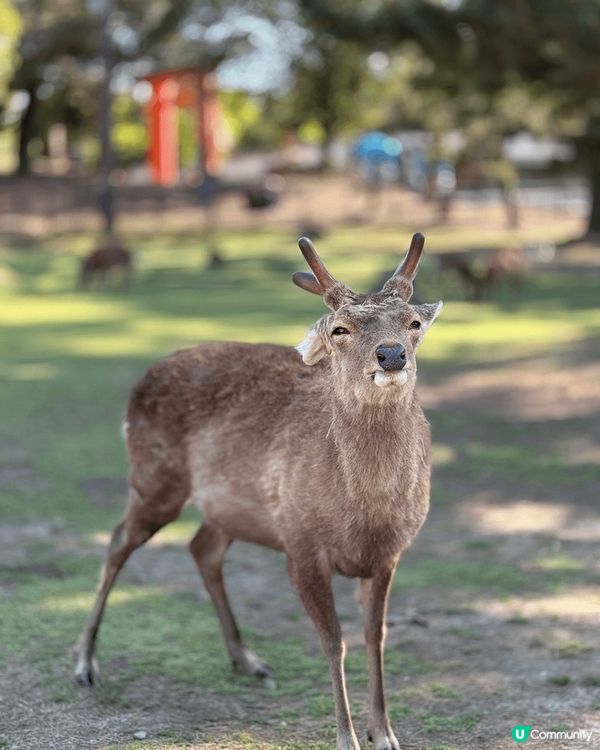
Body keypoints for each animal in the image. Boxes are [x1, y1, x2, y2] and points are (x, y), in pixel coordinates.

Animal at [74, 232, 443, 750]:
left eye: (413, 323)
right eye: (340, 330)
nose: (391, 354)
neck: (364, 514)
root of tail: (145, 376)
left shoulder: (389, 553)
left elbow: (377, 636)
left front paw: (385, 733)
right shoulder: (300, 543)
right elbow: (334, 641)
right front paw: (347, 737)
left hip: (227, 507)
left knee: (201, 547)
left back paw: (246, 659)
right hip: (154, 477)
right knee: (117, 542)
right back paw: (85, 664)